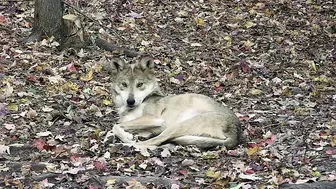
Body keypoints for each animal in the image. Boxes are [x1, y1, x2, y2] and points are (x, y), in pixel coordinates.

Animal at [105, 55, 242, 149]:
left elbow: (115, 125)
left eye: (140, 84)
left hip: (178, 125)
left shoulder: (154, 119)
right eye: (124, 84)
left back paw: (127, 145)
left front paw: (126, 138)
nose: (130, 101)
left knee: (154, 142)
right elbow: (116, 127)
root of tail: (236, 135)